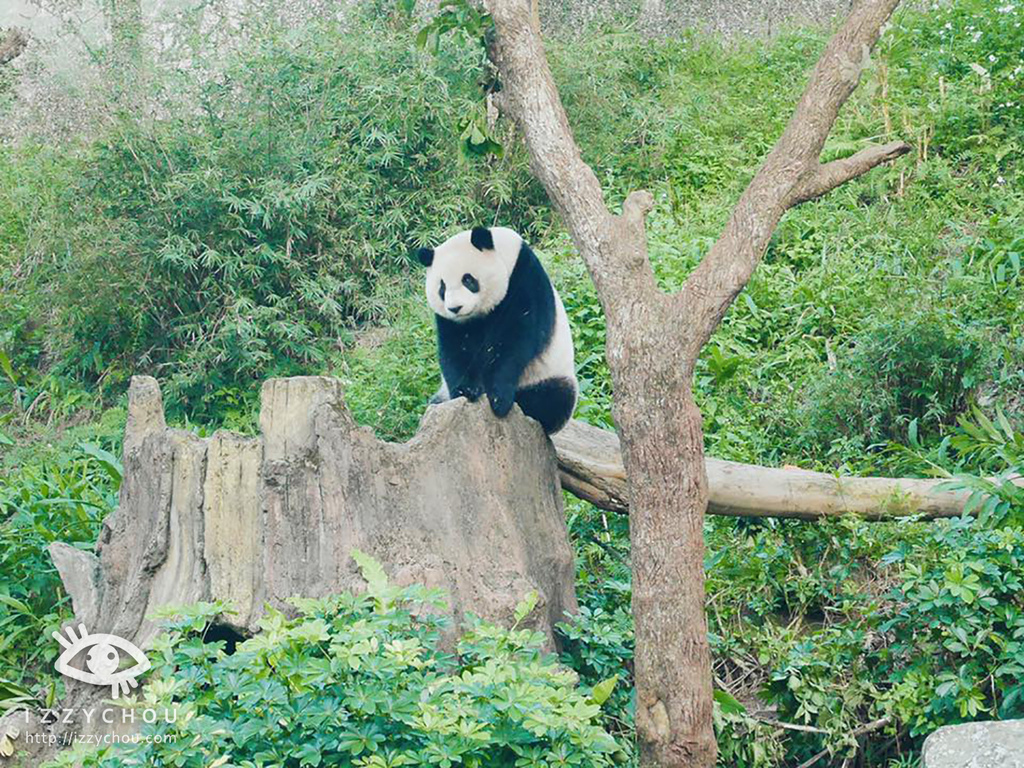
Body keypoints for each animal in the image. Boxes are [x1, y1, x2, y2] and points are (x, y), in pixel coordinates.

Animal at [415, 225, 577, 436]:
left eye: (468, 280)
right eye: (442, 288)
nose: (455, 308)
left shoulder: (524, 281)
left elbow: (514, 343)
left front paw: (498, 399)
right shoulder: (450, 322)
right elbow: (454, 350)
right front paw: (465, 392)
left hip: (549, 373)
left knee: (554, 398)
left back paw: (524, 403)